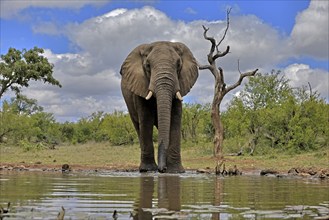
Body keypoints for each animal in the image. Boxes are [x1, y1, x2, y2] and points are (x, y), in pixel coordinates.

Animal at [120, 40, 197, 172]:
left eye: (178, 65)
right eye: (148, 66)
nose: (162, 169)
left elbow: (175, 119)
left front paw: (175, 170)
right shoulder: (139, 87)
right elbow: (146, 120)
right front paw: (148, 170)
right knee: (138, 127)